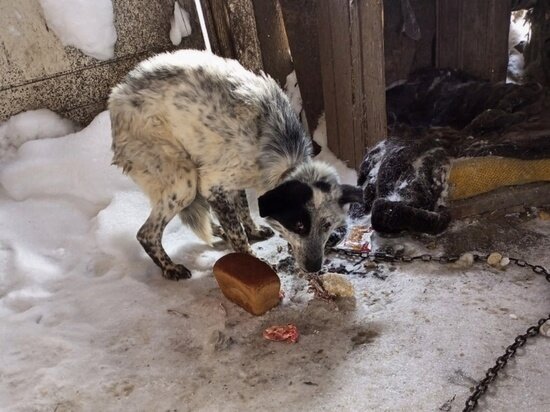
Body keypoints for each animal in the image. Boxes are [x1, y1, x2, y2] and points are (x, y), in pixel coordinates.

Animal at [109, 49, 364, 280]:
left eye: (327, 226)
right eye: (299, 225)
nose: (314, 268)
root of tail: (117, 96)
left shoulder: (235, 181)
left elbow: (242, 210)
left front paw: (254, 231)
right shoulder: (213, 185)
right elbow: (237, 232)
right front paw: (253, 261)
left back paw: (216, 231)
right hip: (183, 180)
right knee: (146, 234)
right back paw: (170, 267)